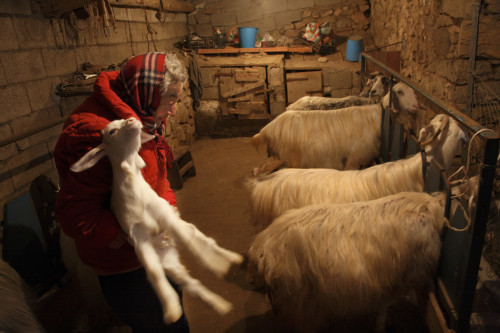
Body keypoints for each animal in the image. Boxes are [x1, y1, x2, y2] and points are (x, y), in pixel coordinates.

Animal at [70, 116, 242, 322]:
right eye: (111, 131)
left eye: (121, 120)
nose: (132, 119)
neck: (134, 189)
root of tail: (170, 248)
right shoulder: (138, 237)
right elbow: (153, 272)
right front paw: (170, 310)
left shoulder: (166, 217)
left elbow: (191, 243)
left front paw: (215, 265)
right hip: (169, 263)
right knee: (190, 283)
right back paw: (219, 305)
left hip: (184, 229)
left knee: (202, 239)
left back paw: (231, 258)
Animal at [254, 81, 422, 169]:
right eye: (400, 92)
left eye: (414, 93)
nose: (416, 106)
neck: (376, 115)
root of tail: (267, 129)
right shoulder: (354, 157)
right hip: (292, 158)